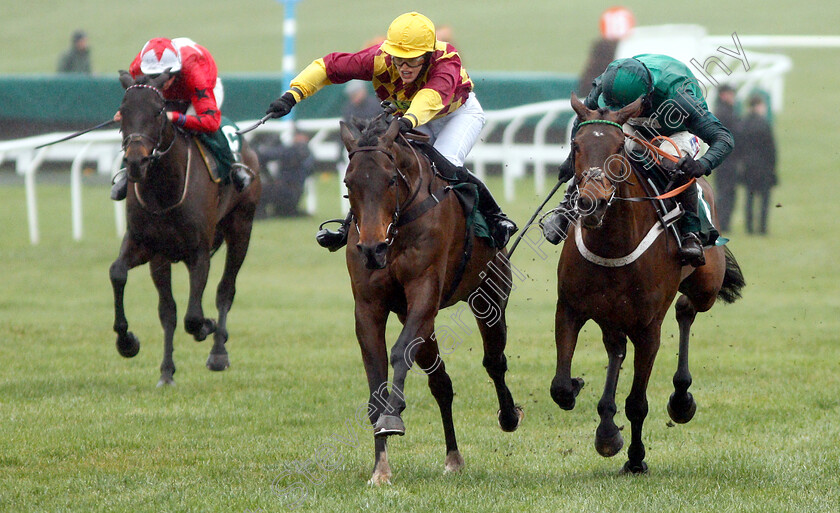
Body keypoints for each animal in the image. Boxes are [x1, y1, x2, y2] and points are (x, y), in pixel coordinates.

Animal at [110, 71, 260, 384]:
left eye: (158, 111)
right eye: (122, 111)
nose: (135, 161)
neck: (165, 189)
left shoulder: (199, 251)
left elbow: (193, 316)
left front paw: (207, 326)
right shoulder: (147, 246)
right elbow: (120, 274)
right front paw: (128, 342)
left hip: (242, 227)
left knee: (226, 289)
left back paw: (218, 352)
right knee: (168, 310)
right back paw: (167, 370)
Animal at [338, 116, 520, 484]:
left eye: (391, 179)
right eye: (349, 183)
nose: (372, 249)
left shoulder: (424, 290)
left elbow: (398, 352)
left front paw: (393, 416)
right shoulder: (369, 306)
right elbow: (376, 376)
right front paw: (380, 469)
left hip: (489, 296)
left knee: (495, 361)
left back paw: (508, 415)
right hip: (423, 321)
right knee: (441, 382)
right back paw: (453, 457)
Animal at [552, 93, 740, 472]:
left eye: (618, 149)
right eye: (576, 145)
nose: (591, 202)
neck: (611, 243)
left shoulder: (648, 327)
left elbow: (637, 403)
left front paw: (636, 459)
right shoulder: (569, 308)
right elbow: (561, 387)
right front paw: (585, 398)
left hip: (706, 285)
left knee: (686, 309)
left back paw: (681, 399)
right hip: (612, 315)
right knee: (616, 348)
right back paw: (607, 425)